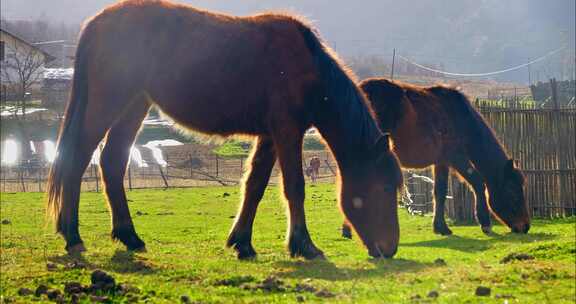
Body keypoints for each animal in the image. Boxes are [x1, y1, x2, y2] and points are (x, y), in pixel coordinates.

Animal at [47, 1, 402, 260]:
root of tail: (96, 23)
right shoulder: (288, 132)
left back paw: (129, 236)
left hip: (134, 105)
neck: (308, 66)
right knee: (77, 159)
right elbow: (294, 187)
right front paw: (304, 245)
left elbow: (255, 186)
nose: (390, 249)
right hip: (109, 103)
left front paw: (242, 242)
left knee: (111, 162)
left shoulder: (270, 136)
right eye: (385, 187)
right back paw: (73, 236)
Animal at [342, 79, 532, 238]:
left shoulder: (441, 162)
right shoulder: (456, 156)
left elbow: (439, 192)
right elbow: (477, 182)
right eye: (512, 192)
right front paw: (485, 223)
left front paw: (441, 227)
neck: (460, 118)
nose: (525, 226)